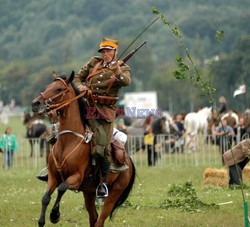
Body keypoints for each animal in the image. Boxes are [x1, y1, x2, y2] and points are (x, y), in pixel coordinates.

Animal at [31, 72, 137, 227]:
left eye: (58, 89)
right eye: (47, 87)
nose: (35, 103)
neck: (68, 143)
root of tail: (128, 161)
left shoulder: (76, 178)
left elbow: (62, 188)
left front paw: (55, 215)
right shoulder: (53, 177)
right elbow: (45, 197)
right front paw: (42, 220)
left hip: (114, 193)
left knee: (100, 220)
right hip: (89, 193)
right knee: (94, 218)